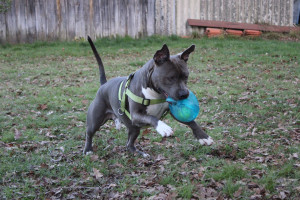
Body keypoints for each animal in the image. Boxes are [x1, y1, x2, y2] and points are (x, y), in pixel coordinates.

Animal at [83, 36, 212, 158]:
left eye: (186, 76)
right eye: (171, 78)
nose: (184, 94)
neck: (156, 94)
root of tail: (103, 85)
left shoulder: (171, 110)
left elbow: (191, 122)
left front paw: (203, 137)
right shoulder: (136, 115)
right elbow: (152, 117)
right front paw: (163, 127)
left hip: (134, 128)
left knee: (129, 144)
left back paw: (140, 153)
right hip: (95, 120)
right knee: (89, 133)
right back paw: (88, 150)